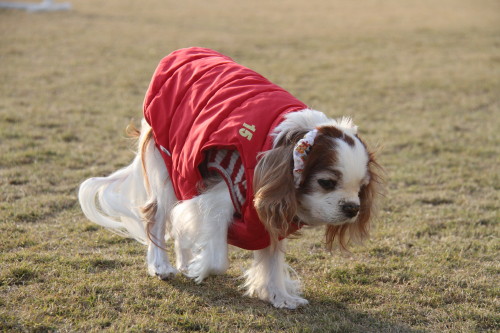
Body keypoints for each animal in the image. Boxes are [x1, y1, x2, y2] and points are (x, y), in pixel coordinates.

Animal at [79, 47, 382, 308]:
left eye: (362, 188)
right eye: (326, 183)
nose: (352, 208)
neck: (283, 143)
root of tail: (180, 52)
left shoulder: (268, 212)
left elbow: (271, 260)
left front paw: (279, 296)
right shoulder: (219, 197)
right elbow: (217, 260)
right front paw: (201, 267)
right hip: (167, 164)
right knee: (157, 215)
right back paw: (161, 266)